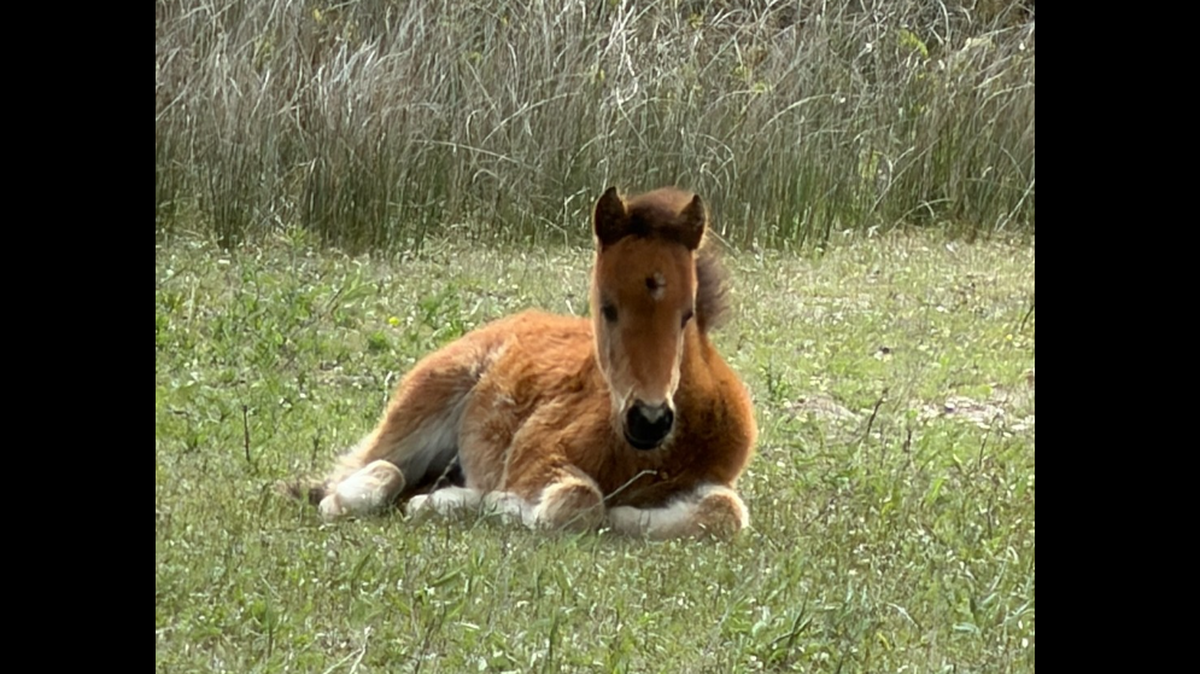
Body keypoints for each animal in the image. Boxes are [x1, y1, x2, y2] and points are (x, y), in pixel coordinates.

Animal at [292, 187, 757, 539]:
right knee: (366, 470)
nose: (649, 420)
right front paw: (489, 502)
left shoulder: (717, 479)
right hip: (416, 415)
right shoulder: (535, 459)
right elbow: (579, 501)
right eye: (607, 308)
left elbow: (726, 511)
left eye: (687, 314)